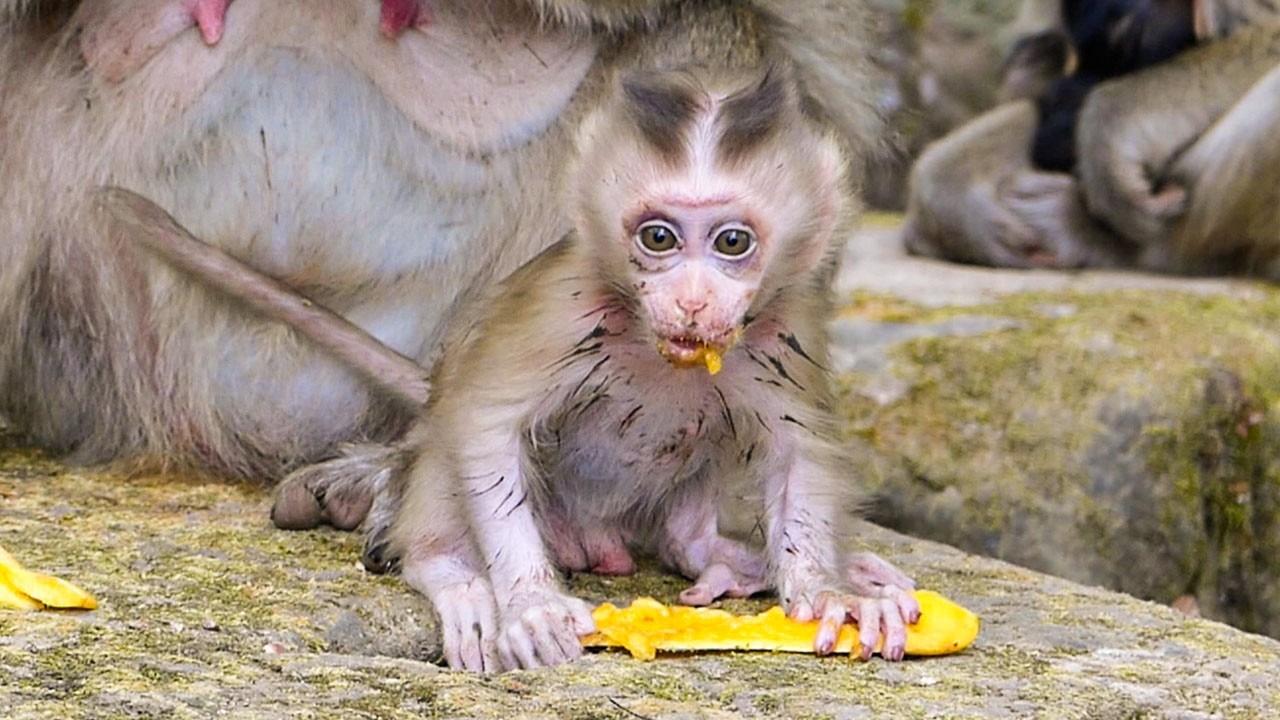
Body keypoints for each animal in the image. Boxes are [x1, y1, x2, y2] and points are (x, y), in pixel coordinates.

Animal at [382, 64, 920, 672]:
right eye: (658, 237)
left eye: (732, 241)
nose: (691, 302)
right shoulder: (563, 309)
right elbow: (484, 420)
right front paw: (532, 605)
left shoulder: (788, 326)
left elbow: (797, 452)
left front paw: (831, 593)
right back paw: (451, 574)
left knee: (686, 528)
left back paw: (727, 557)